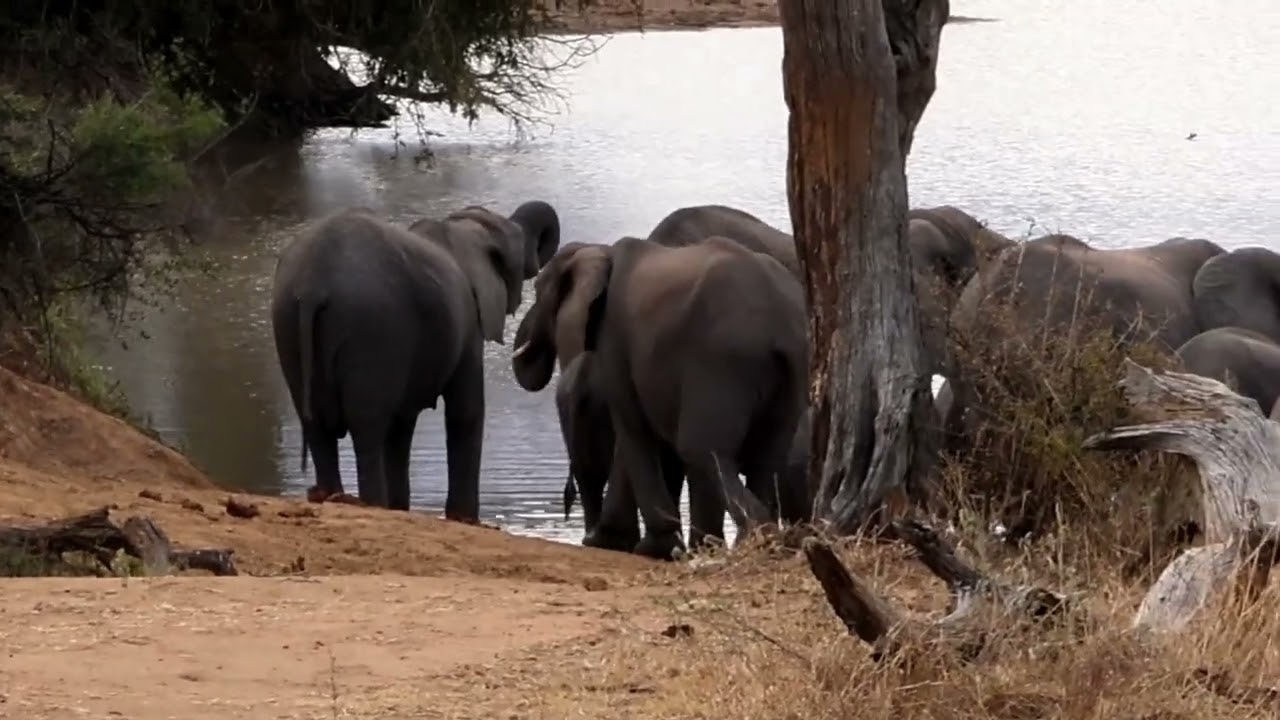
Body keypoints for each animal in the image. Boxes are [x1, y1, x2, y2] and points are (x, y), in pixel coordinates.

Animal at [270, 200, 561, 515]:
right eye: (518, 250)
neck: (459, 228)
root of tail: (313, 283)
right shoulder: (469, 324)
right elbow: (465, 412)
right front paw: (463, 518)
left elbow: (402, 426)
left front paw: (402, 507)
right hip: (372, 326)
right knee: (367, 428)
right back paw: (373, 504)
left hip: (286, 320)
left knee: (317, 427)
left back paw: (329, 496)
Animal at [512, 236, 810, 559]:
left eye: (539, 289)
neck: (601, 252)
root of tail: (781, 324)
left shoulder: (614, 337)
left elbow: (632, 426)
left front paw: (638, 546)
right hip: (784, 374)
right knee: (765, 457)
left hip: (723, 362)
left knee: (701, 449)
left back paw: (749, 539)